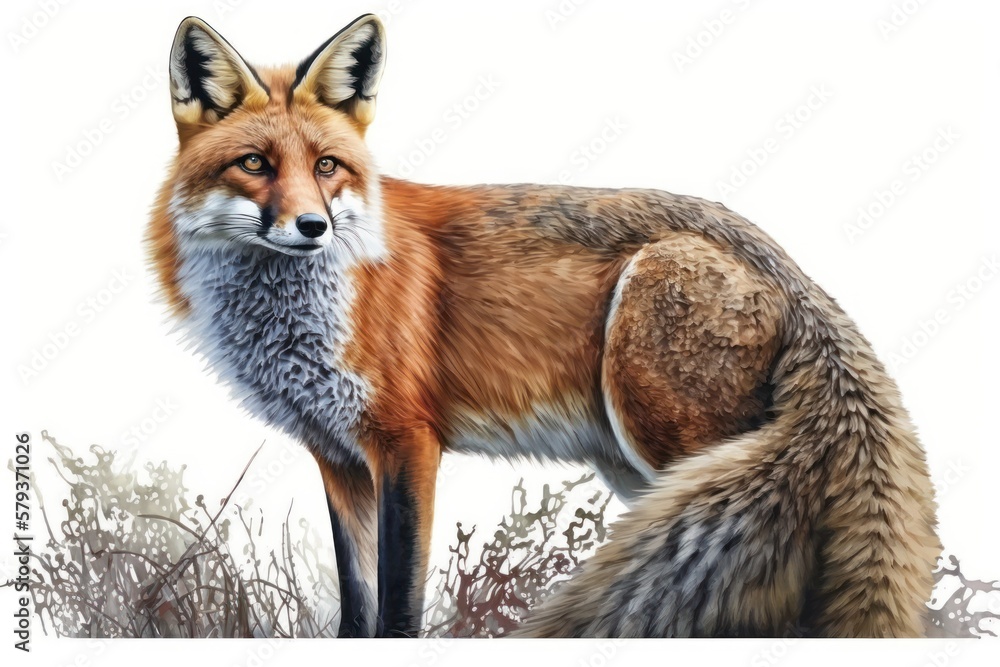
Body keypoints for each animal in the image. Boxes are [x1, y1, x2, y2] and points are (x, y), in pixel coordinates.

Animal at [147, 14, 942, 638]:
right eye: (255, 163)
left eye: (327, 166)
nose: (312, 226)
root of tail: (778, 255)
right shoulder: (336, 456)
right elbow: (356, 600)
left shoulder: (408, 443)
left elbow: (398, 604)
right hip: (636, 466)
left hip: (670, 432)